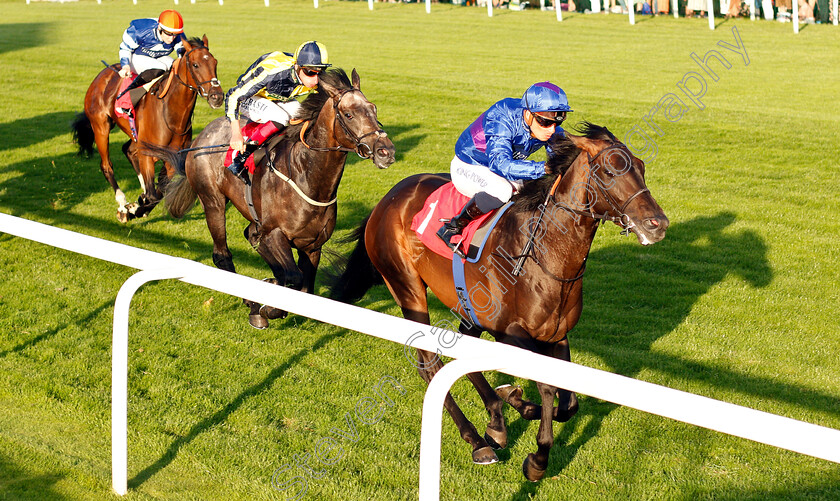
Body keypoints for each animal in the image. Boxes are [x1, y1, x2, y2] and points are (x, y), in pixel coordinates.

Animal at [72, 36, 223, 222]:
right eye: (195, 65)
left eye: (215, 63)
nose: (217, 96)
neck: (172, 116)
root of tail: (102, 74)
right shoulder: (147, 154)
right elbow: (153, 195)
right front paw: (134, 209)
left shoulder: (170, 159)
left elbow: (160, 192)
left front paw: (139, 205)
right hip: (101, 127)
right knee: (107, 166)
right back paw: (122, 204)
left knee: (128, 150)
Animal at [147, 69, 394, 328]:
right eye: (348, 114)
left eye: (374, 109)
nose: (386, 151)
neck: (307, 177)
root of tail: (202, 135)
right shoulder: (273, 234)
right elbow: (294, 277)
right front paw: (269, 308)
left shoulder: (312, 245)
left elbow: (304, 287)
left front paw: (273, 292)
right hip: (213, 202)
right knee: (222, 255)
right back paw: (251, 302)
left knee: (250, 235)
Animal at [332, 122, 668, 480]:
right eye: (610, 170)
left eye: (641, 168)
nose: (657, 224)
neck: (544, 253)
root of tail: (387, 198)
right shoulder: (510, 331)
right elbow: (546, 387)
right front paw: (537, 459)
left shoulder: (556, 334)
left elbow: (569, 404)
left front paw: (518, 404)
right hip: (406, 287)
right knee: (430, 364)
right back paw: (478, 439)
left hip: (469, 307)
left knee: (464, 349)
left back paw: (499, 414)